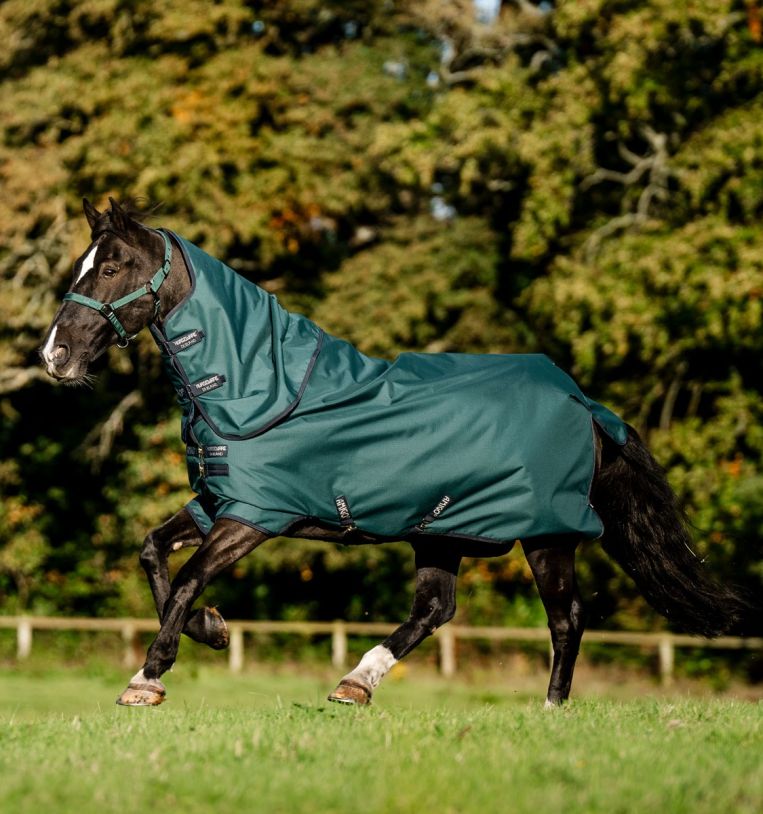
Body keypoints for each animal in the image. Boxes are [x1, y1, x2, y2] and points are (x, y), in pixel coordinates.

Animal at [40, 199, 756, 707]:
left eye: (110, 268)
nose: (54, 355)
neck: (257, 386)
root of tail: (585, 405)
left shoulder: (255, 516)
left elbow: (188, 578)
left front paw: (148, 676)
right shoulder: (217, 502)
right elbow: (153, 554)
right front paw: (211, 632)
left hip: (546, 534)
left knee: (566, 618)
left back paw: (551, 710)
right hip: (444, 530)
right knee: (435, 610)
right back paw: (356, 682)